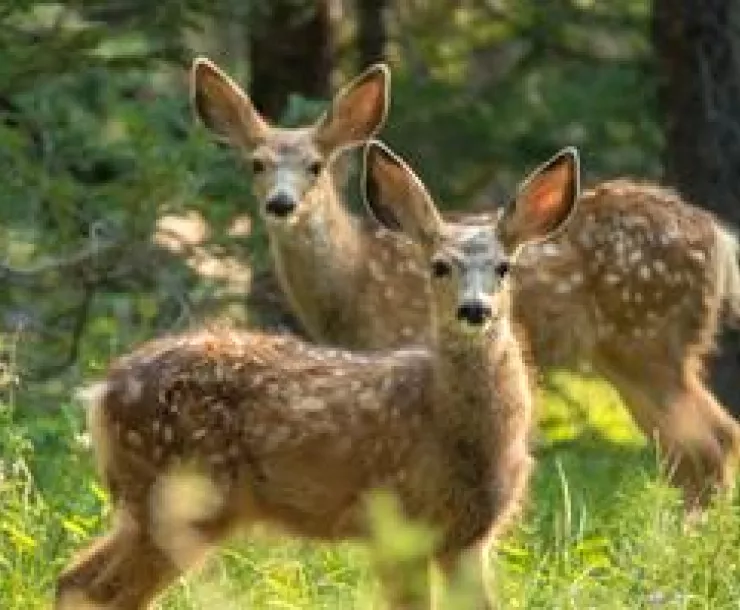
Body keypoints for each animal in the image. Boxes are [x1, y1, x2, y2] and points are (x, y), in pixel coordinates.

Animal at [54, 143, 580, 610]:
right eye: (439, 266)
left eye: (503, 267)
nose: (474, 310)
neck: (453, 429)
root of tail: (101, 392)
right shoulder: (395, 520)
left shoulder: (467, 537)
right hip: (178, 496)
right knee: (98, 589)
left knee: (75, 579)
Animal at [192, 57, 740, 510]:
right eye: (256, 164)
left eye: (315, 166)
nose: (281, 204)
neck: (353, 282)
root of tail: (718, 236)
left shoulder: (403, 341)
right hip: (628, 354)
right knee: (688, 450)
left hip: (651, 339)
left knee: (712, 440)